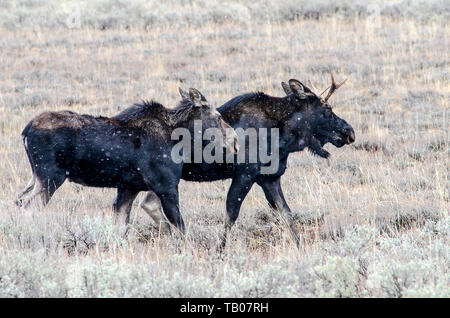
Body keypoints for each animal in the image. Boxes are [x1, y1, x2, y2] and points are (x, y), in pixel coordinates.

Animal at [16, 87, 239, 234]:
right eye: (218, 116)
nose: (236, 140)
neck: (179, 137)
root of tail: (25, 131)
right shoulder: (166, 186)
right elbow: (181, 228)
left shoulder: (128, 187)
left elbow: (120, 227)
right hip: (51, 178)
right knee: (29, 209)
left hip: (36, 178)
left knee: (18, 200)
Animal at [141, 72, 356, 251]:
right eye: (327, 109)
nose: (349, 132)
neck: (283, 135)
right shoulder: (245, 174)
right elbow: (231, 215)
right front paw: (220, 251)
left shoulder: (269, 178)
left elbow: (286, 214)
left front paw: (299, 247)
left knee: (150, 205)